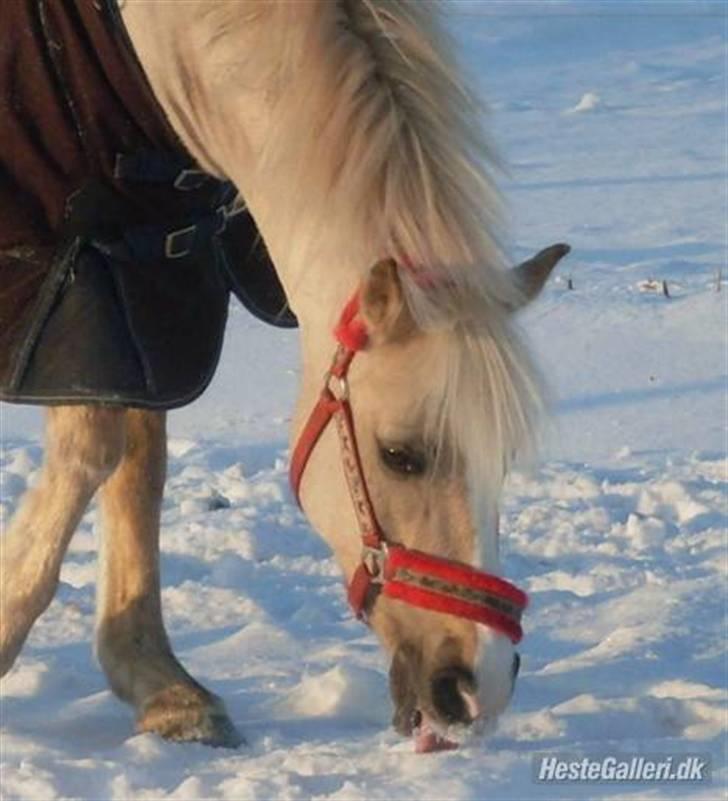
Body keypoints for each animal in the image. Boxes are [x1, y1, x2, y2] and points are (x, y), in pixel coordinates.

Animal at [0, 1, 569, 751]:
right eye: (401, 455)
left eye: (501, 461)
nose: (482, 687)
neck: (152, 39)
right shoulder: (78, 277)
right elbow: (92, 452)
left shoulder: (143, 271)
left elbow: (136, 464)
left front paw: (160, 683)